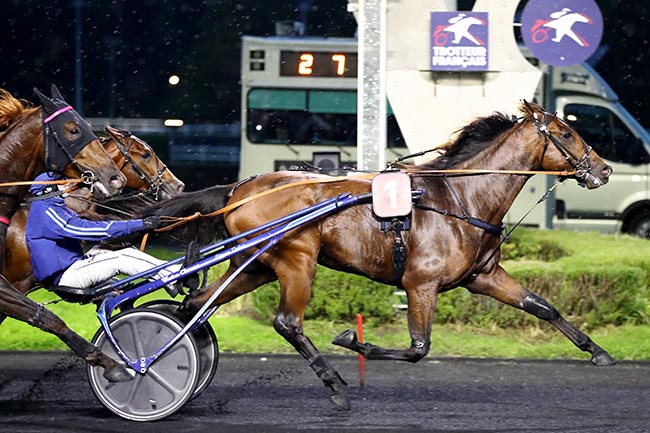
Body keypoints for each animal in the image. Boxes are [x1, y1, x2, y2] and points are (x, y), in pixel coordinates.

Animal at [149, 101, 612, 408]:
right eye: (566, 133)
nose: (603, 169)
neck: (460, 198)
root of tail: (239, 189)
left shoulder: (483, 277)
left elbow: (543, 307)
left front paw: (598, 352)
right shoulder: (420, 283)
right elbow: (418, 347)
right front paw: (354, 341)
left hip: (258, 266)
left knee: (196, 304)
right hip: (296, 260)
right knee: (287, 322)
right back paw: (335, 384)